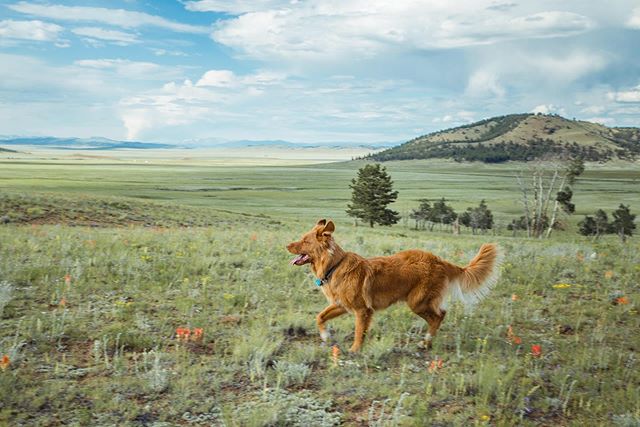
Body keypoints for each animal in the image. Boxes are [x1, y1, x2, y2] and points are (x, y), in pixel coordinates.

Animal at [284, 219, 500, 352]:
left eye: (305, 241)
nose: (286, 245)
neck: (333, 266)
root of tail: (439, 260)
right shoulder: (341, 305)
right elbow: (320, 317)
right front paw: (325, 336)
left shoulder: (362, 311)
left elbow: (358, 332)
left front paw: (355, 350)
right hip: (419, 302)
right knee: (439, 315)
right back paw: (426, 342)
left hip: (417, 302)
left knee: (439, 316)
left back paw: (426, 342)